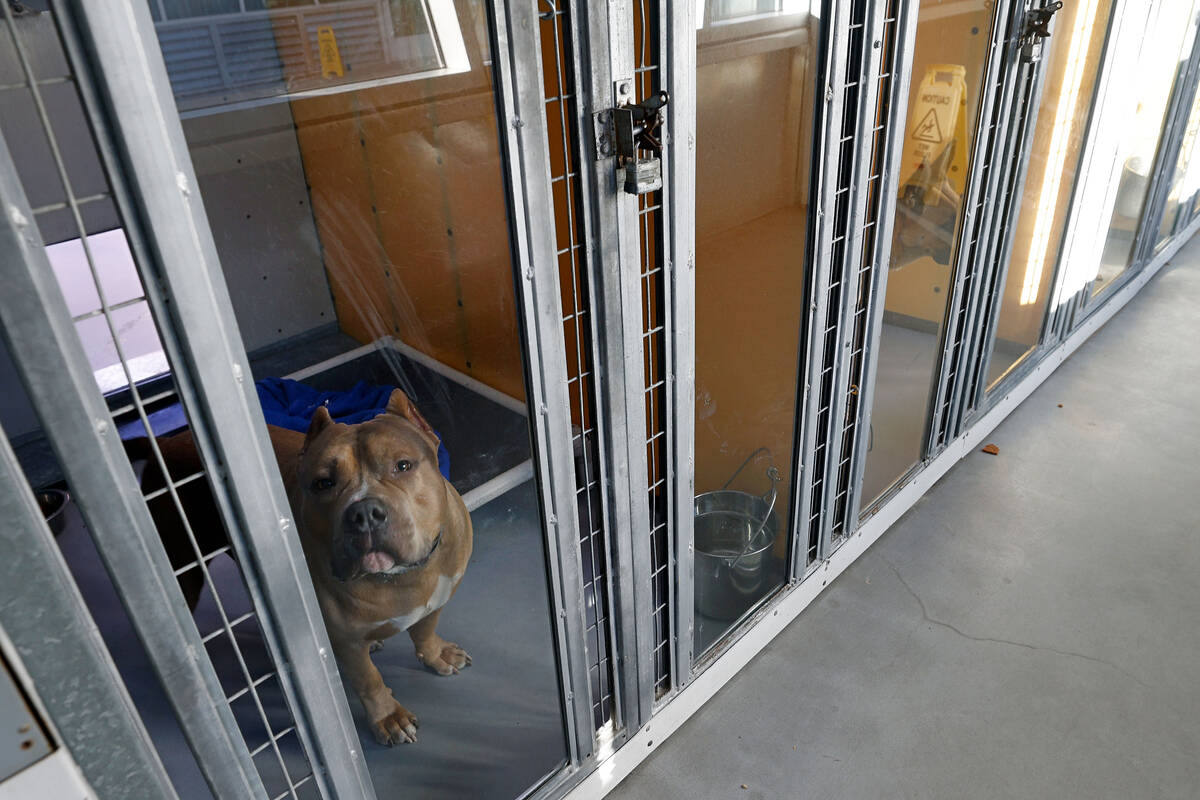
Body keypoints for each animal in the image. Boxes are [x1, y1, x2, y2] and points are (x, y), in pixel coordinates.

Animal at [127, 391, 472, 748]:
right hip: (183, 568)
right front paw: (388, 717)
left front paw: (435, 654)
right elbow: (369, 680)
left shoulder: (438, 598)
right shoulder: (347, 643)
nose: (363, 513)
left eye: (402, 465)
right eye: (323, 483)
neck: (402, 578)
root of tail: (165, 442)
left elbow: (424, 630)